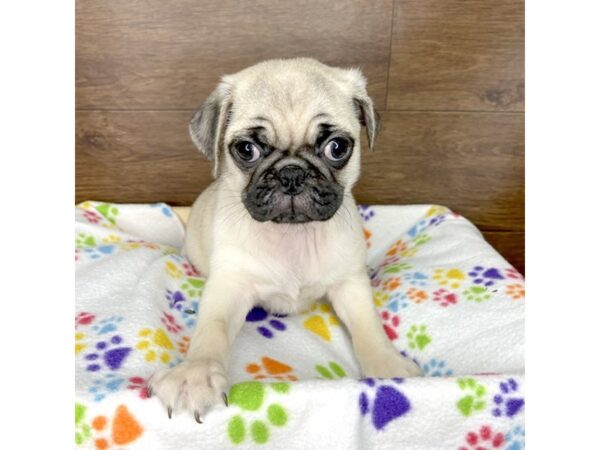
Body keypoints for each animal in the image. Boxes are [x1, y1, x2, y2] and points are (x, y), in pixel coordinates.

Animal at [150, 57, 422, 422]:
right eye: (246, 150)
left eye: (337, 147)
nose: (291, 173)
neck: (293, 235)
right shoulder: (229, 285)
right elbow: (212, 327)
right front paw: (195, 373)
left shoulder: (350, 284)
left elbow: (369, 325)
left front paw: (388, 366)